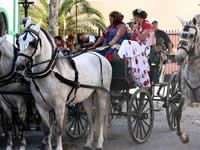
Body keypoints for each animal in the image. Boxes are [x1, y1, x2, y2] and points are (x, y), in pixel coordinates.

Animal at [15, 17, 112, 150]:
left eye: (32, 42)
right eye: (18, 41)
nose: (19, 65)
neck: (49, 73)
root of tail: (99, 55)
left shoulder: (59, 105)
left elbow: (58, 129)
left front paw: (58, 147)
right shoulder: (41, 106)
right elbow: (47, 130)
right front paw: (47, 146)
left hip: (101, 93)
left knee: (100, 118)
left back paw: (99, 143)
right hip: (86, 97)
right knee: (91, 118)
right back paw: (88, 143)